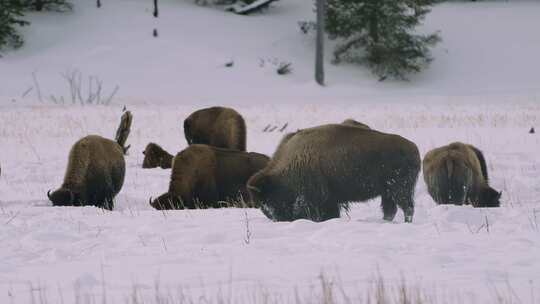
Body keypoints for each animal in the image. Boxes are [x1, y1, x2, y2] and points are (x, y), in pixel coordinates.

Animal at [247, 123, 420, 223]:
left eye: (269, 198)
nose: (279, 219)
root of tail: (413, 148)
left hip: (399, 189)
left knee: (407, 208)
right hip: (388, 192)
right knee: (391, 210)